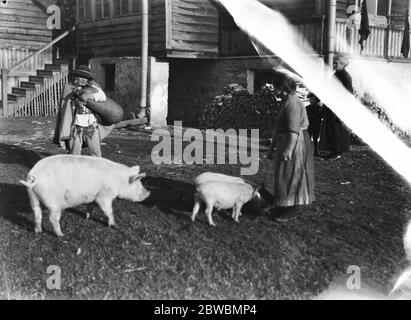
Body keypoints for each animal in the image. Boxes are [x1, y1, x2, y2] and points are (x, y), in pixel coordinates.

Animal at [18, 155, 151, 238]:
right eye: (138, 183)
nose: (148, 193)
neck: (119, 181)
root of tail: (34, 177)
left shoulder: (92, 197)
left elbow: (90, 206)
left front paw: (87, 217)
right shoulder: (104, 196)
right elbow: (109, 211)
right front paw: (114, 225)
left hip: (32, 197)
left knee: (37, 214)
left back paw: (38, 232)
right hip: (53, 202)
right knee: (52, 218)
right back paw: (61, 235)